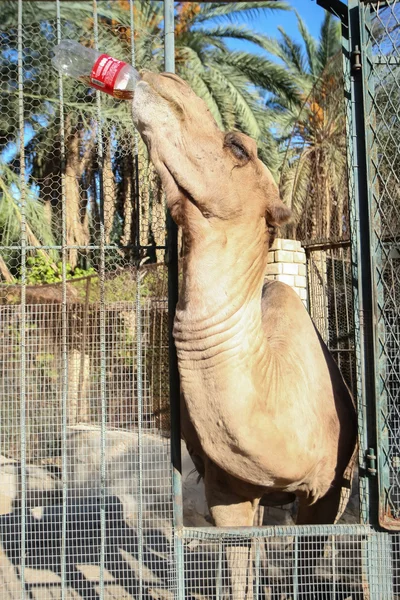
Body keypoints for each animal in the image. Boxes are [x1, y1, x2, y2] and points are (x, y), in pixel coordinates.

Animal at [133, 70, 358, 596]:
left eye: (238, 146)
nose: (162, 78)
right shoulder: (228, 490)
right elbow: (239, 567)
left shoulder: (326, 489)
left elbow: (305, 563)